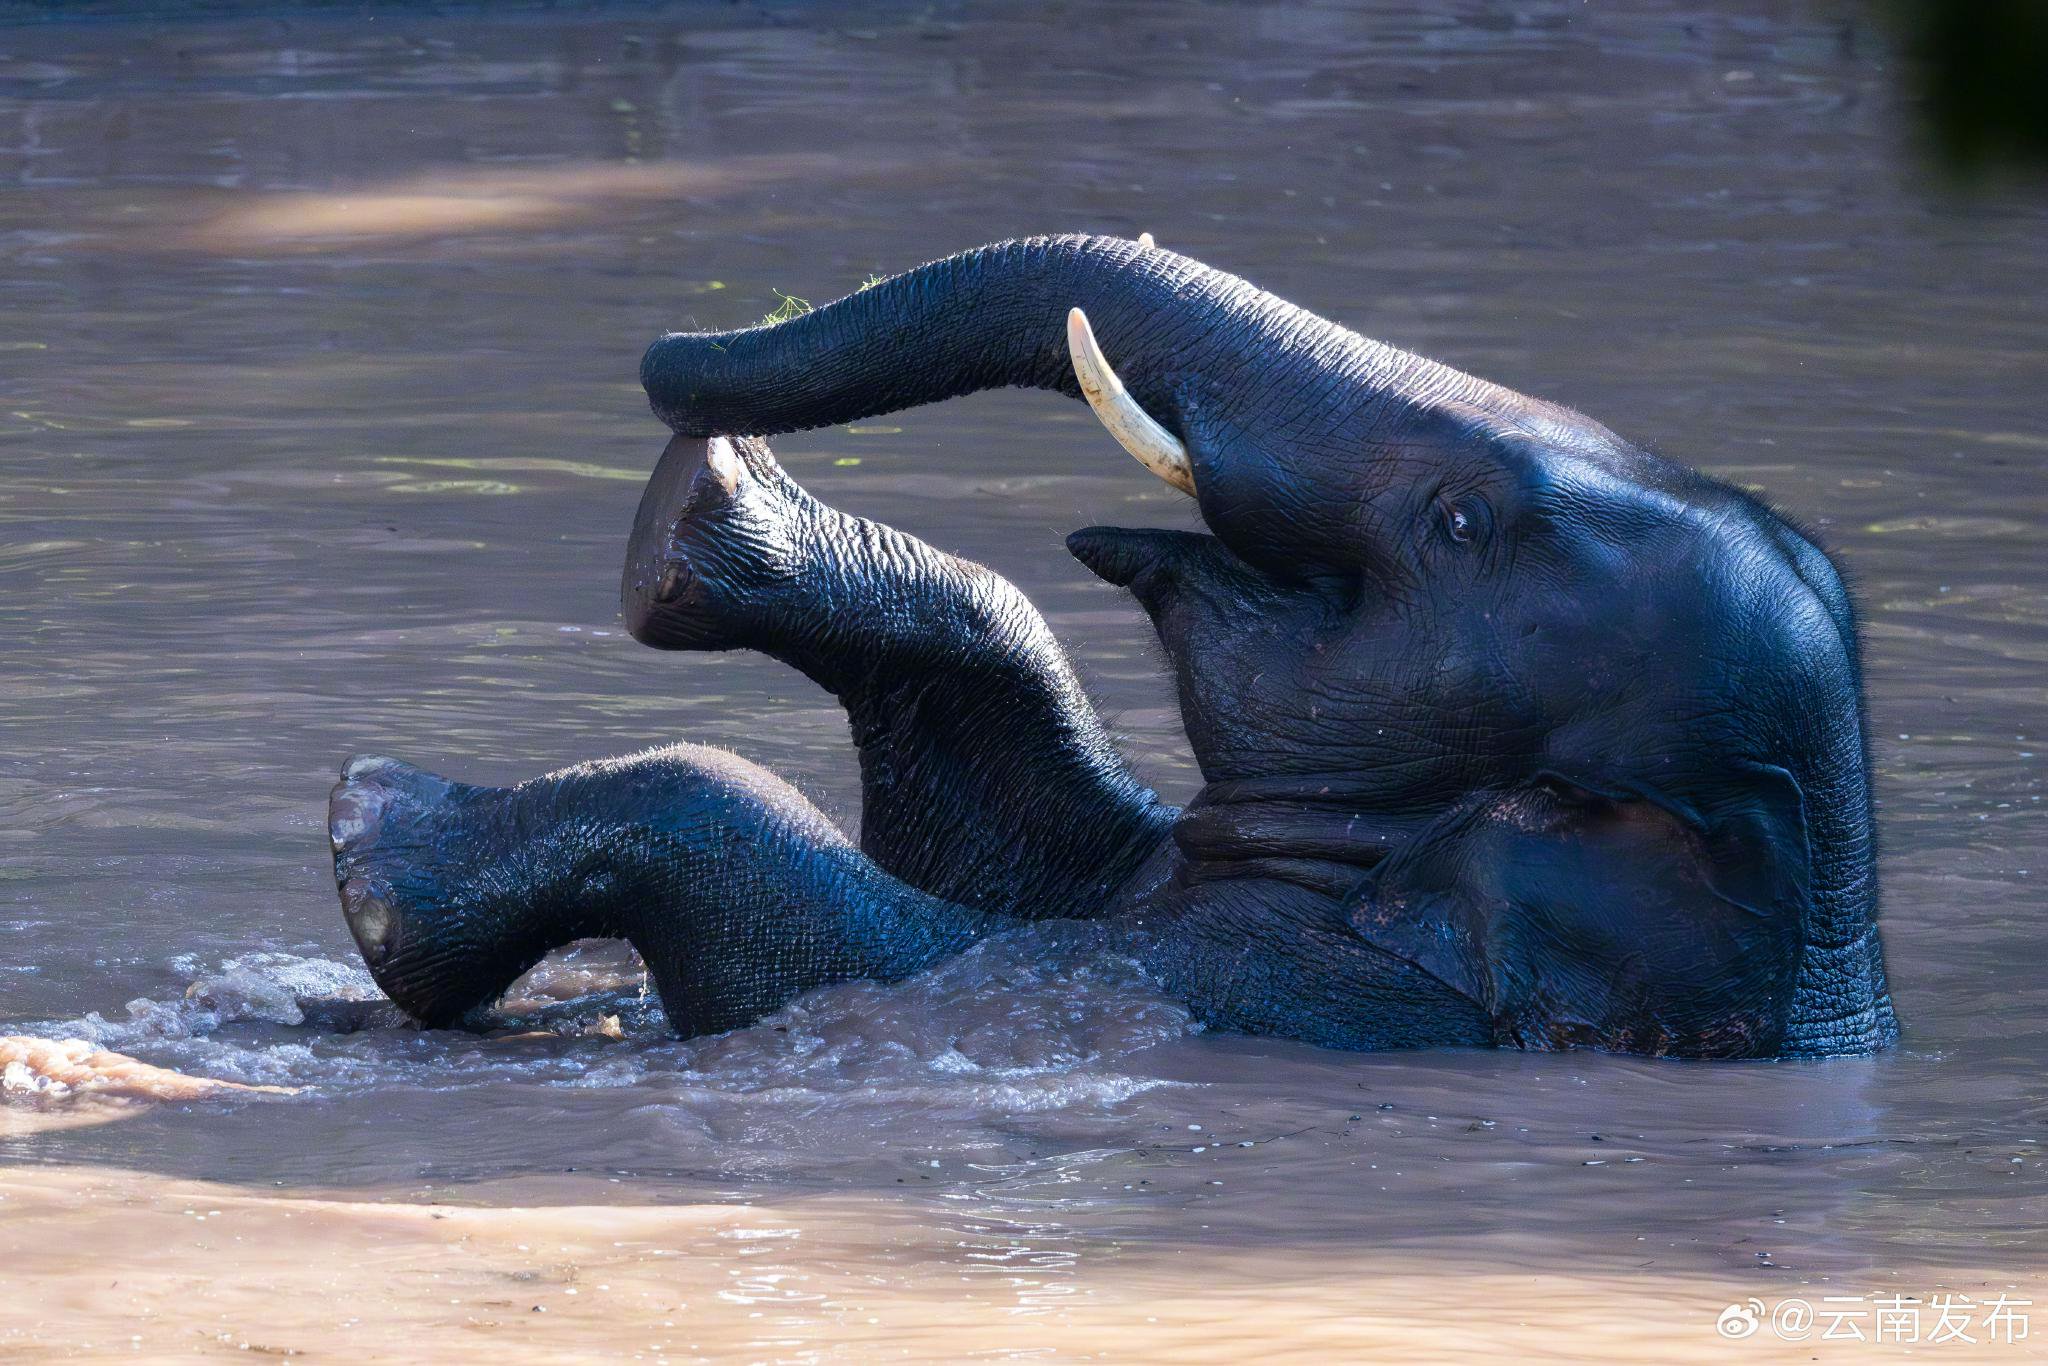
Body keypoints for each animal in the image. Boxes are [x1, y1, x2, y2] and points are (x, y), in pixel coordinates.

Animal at [328, 234, 1897, 1059]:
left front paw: (375, 840)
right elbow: (1002, 772)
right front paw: (711, 504)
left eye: (1460, 519)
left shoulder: (1261, 991)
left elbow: (822, 908)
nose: (678, 367)